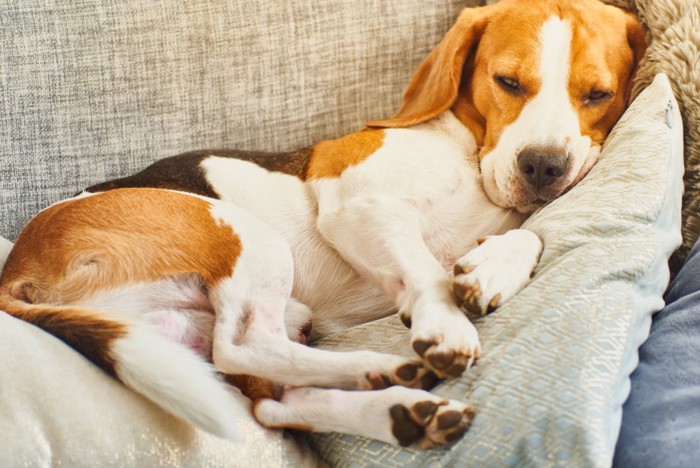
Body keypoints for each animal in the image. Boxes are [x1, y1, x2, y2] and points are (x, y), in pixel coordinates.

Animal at [0, 0, 644, 448]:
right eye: (507, 82)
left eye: (598, 94)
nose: (543, 166)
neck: (466, 151)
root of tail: (17, 264)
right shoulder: (358, 205)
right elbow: (426, 271)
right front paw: (447, 322)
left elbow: (530, 231)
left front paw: (489, 272)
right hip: (244, 236)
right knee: (245, 348)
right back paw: (384, 369)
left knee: (274, 397)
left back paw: (397, 407)